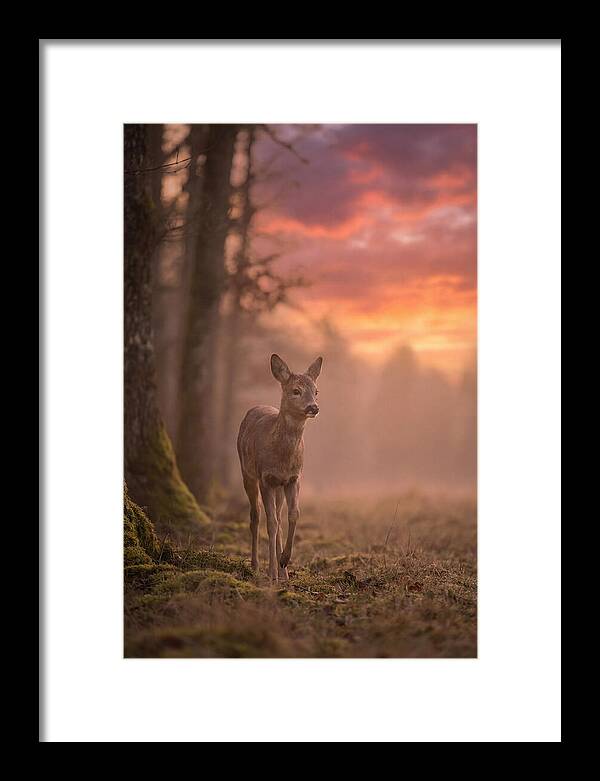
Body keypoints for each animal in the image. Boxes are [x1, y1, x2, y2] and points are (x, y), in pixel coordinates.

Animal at [237, 353, 323, 582]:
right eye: (296, 390)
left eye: (316, 391)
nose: (313, 407)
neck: (283, 458)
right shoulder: (266, 478)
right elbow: (271, 523)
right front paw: (272, 573)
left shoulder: (294, 478)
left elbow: (293, 515)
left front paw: (284, 560)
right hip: (247, 473)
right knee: (256, 515)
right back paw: (256, 565)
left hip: (279, 487)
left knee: (277, 515)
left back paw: (283, 571)